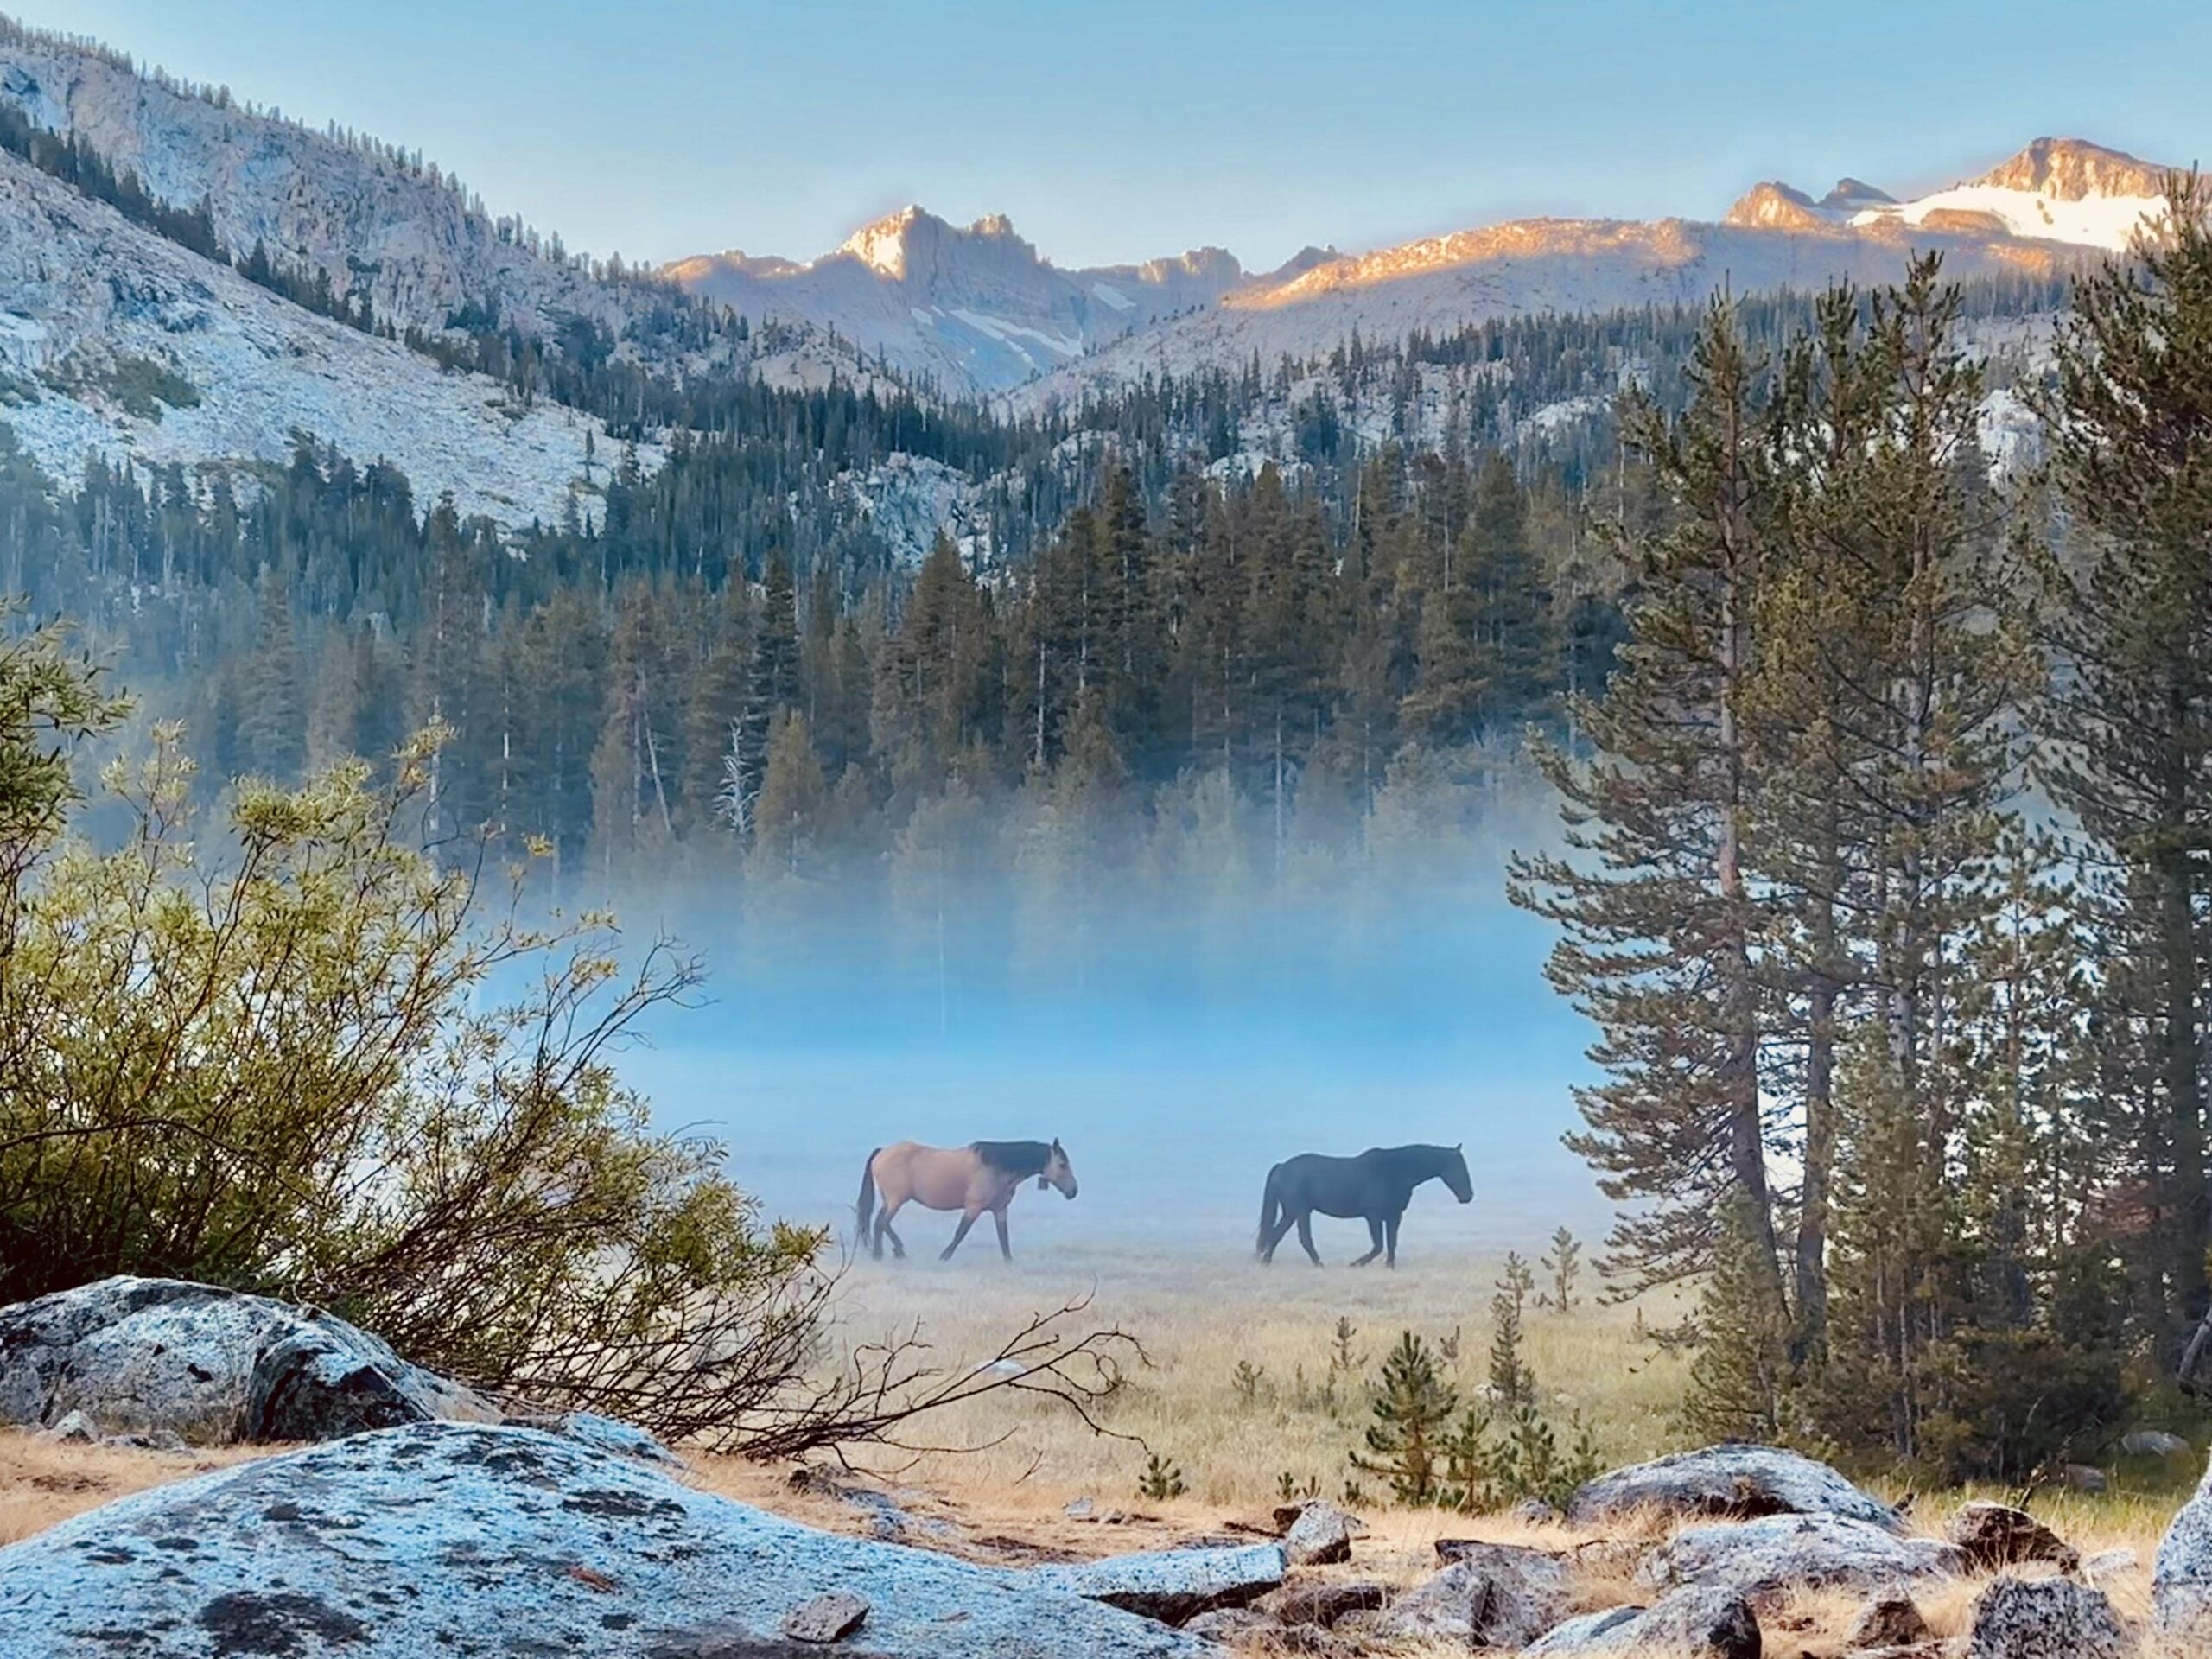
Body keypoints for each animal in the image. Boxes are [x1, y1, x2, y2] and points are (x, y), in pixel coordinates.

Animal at [855, 1139, 1078, 1263]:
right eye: (1062, 1164)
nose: (1073, 1191)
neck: (996, 1165)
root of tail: (882, 1152)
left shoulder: (1000, 1209)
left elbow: (1003, 1237)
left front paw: (1009, 1262)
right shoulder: (974, 1207)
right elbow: (961, 1233)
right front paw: (944, 1257)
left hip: (890, 1200)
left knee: (880, 1222)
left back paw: (885, 1253)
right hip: (897, 1200)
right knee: (882, 1222)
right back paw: (893, 1252)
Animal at [1256, 1144, 1472, 1267]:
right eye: (1459, 1167)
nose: (1468, 1196)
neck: (1394, 1171)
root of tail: (1282, 1167)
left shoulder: (1394, 1216)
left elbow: (1391, 1243)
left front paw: (1389, 1266)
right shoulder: (1373, 1216)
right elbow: (1378, 1245)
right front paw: (1356, 1264)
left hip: (1292, 1212)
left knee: (1276, 1234)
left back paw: (1267, 1262)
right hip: (1300, 1211)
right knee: (1302, 1237)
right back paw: (1317, 1264)